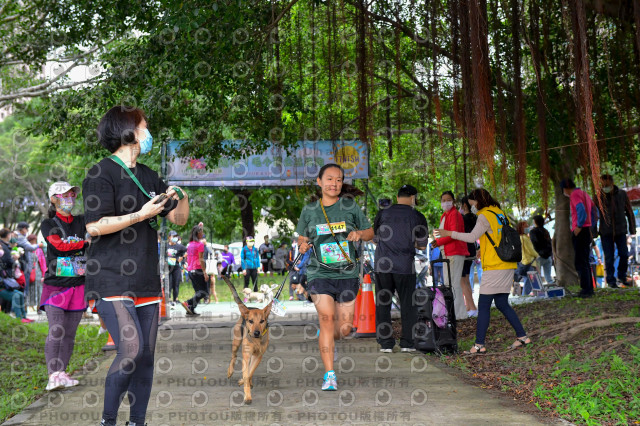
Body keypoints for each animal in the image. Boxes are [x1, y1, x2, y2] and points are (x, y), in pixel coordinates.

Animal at [222, 274, 272, 404]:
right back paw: (230, 371)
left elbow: (249, 372)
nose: (256, 332)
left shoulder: (258, 355)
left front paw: (245, 382)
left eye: (262, 321)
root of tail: (247, 307)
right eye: (250, 321)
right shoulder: (247, 354)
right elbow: (246, 372)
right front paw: (247, 396)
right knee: (234, 356)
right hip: (237, 342)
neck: (256, 340)